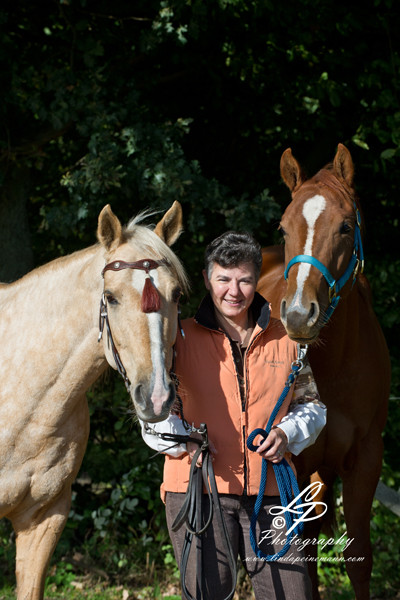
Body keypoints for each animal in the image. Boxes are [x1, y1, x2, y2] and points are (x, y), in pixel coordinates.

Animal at [256, 145, 390, 600]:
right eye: (283, 228)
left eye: (346, 226)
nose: (298, 315)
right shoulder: (293, 464)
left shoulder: (366, 458)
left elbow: (359, 557)